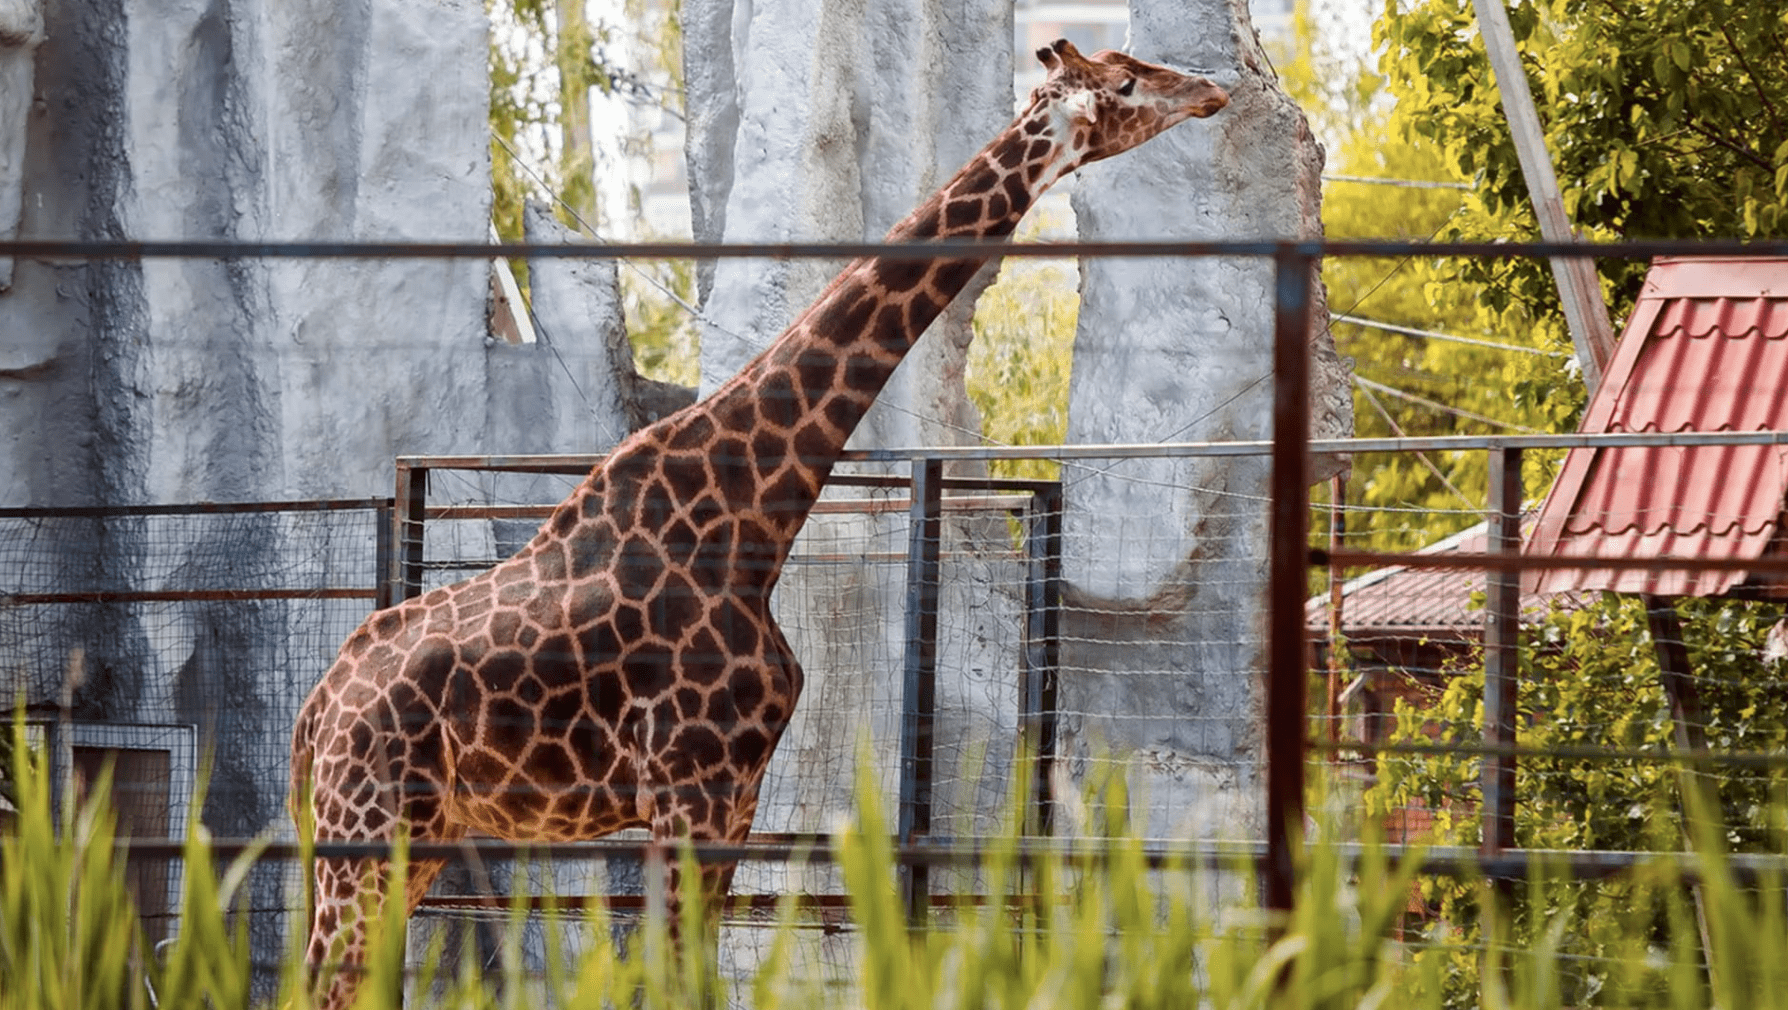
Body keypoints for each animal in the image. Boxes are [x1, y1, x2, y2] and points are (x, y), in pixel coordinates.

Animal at [289, 37, 1230, 1001]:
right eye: (1126, 84)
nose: (1213, 90)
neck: (751, 525)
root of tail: (315, 718)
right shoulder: (692, 787)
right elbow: (675, 975)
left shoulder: (735, 796)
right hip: (367, 830)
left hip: (415, 838)